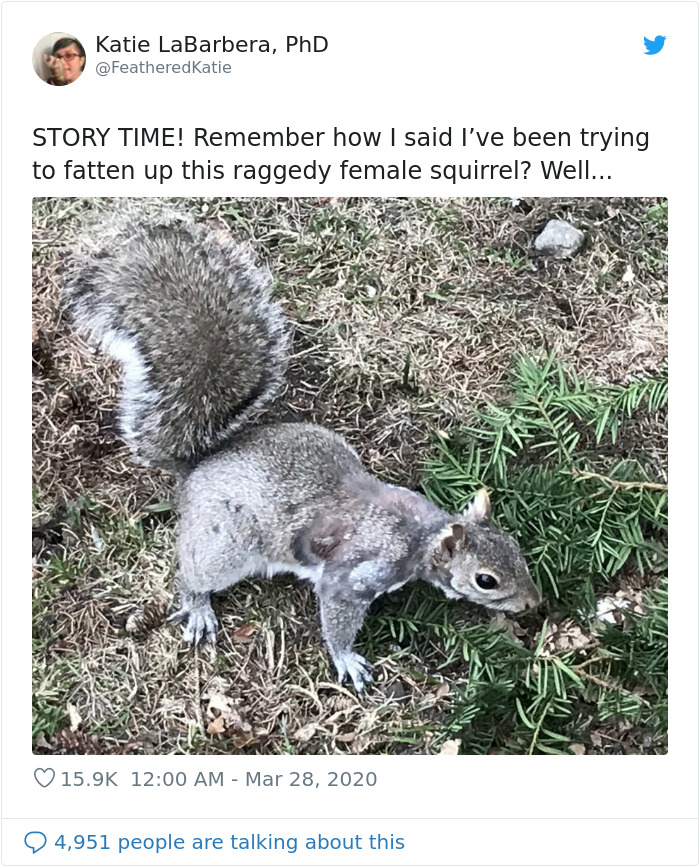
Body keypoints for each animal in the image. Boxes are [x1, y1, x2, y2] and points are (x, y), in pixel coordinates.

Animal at [61, 205, 542, 691]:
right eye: (485, 580)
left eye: (518, 550)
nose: (532, 604)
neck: (420, 536)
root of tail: (197, 466)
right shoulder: (353, 572)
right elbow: (337, 614)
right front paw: (347, 659)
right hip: (227, 542)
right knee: (195, 572)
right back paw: (197, 605)